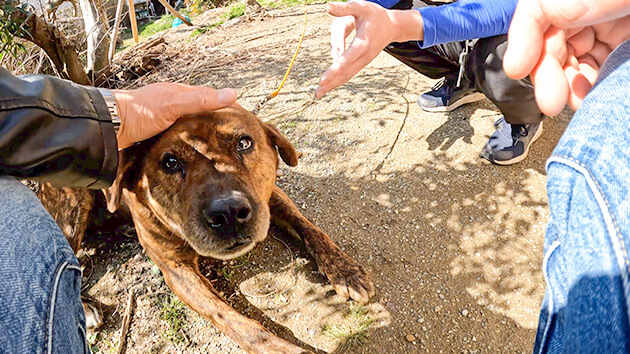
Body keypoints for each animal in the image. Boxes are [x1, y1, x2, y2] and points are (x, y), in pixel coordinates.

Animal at [37, 106, 376, 354]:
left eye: (244, 142)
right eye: (170, 162)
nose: (228, 213)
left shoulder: (270, 198)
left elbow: (309, 227)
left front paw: (346, 271)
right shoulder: (176, 270)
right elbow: (233, 320)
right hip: (72, 205)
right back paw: (85, 306)